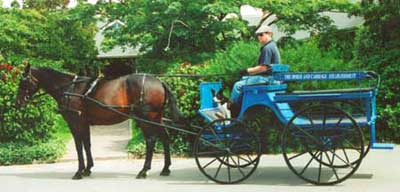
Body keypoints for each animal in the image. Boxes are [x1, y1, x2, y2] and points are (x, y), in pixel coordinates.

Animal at [15, 63, 184, 179]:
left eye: (23, 82)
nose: (18, 103)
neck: (69, 89)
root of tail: (159, 82)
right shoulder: (84, 123)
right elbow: (87, 144)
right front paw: (88, 169)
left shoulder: (75, 122)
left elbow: (79, 146)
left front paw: (79, 171)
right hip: (156, 117)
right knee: (165, 138)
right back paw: (165, 169)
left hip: (145, 118)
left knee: (150, 140)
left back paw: (143, 170)